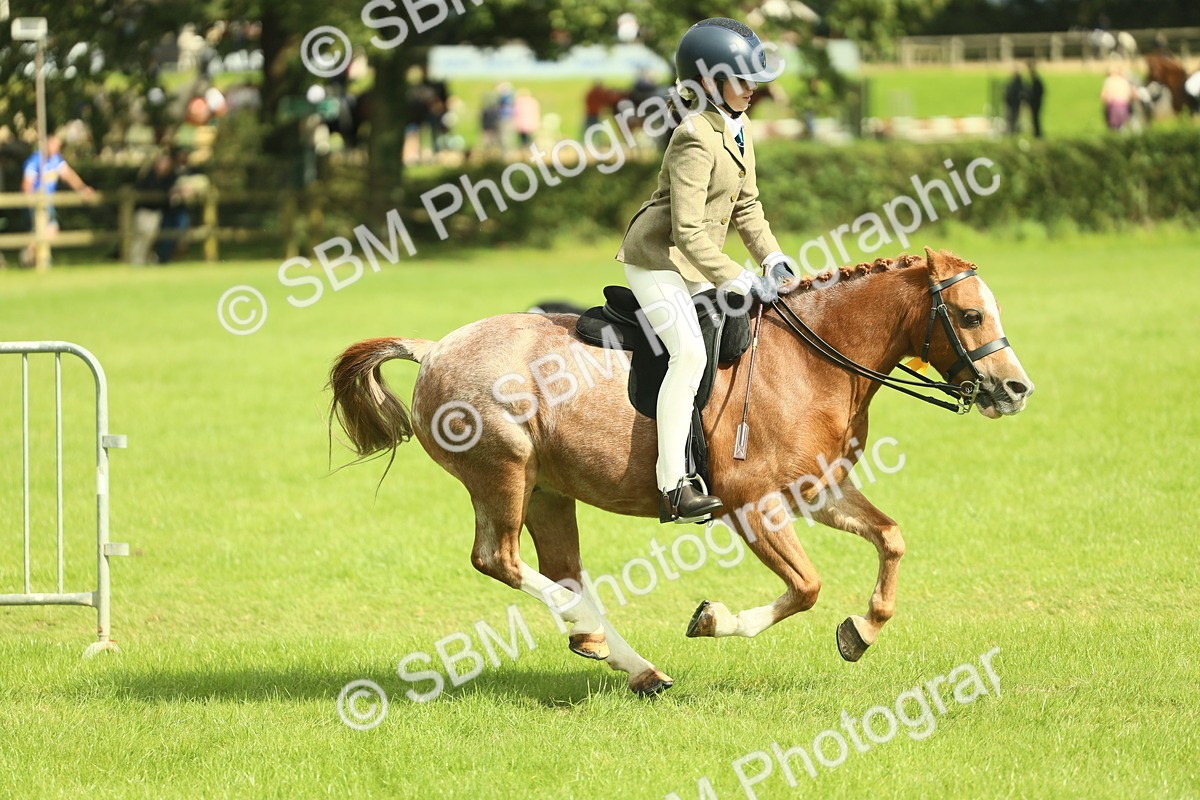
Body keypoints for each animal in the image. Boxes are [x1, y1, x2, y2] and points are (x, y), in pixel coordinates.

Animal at [327, 248, 1035, 695]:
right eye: (970, 316)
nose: (1016, 389)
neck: (811, 360)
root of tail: (434, 349)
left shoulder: (819, 488)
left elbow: (890, 538)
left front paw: (861, 631)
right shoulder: (753, 505)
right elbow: (806, 586)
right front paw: (715, 620)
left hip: (549, 490)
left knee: (561, 570)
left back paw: (623, 659)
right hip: (503, 473)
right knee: (498, 560)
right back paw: (605, 642)